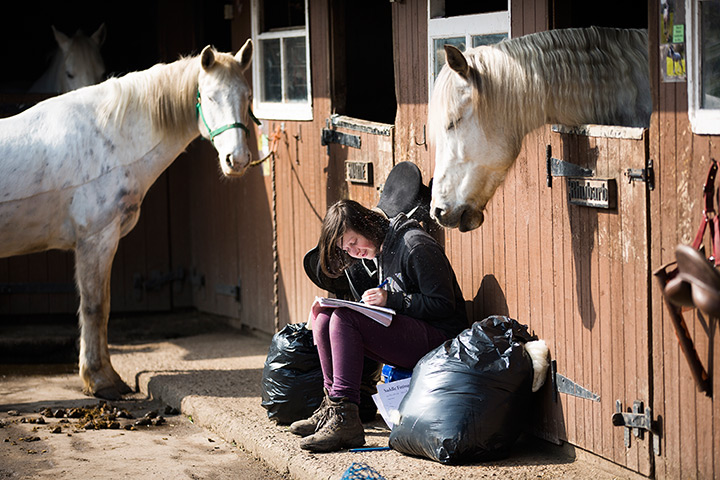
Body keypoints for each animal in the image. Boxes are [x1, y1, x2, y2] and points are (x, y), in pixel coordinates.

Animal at [0, 40, 259, 399]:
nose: (238, 160)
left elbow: (105, 307)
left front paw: (106, 375)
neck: (105, 138)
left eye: (247, 96)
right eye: (209, 97)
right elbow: (95, 307)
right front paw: (100, 380)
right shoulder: (95, 240)